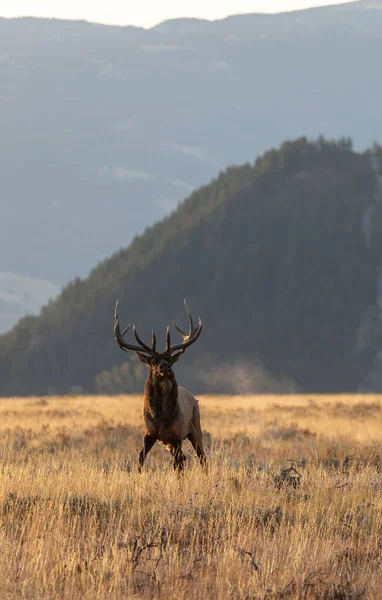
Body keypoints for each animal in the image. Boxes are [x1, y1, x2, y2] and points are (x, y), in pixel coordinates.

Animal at [113, 302, 206, 472]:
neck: (161, 418)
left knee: (201, 457)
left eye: (170, 359)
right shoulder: (150, 433)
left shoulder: (176, 435)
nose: (165, 366)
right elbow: (140, 458)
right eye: (153, 361)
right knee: (184, 458)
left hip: (195, 428)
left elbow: (178, 465)